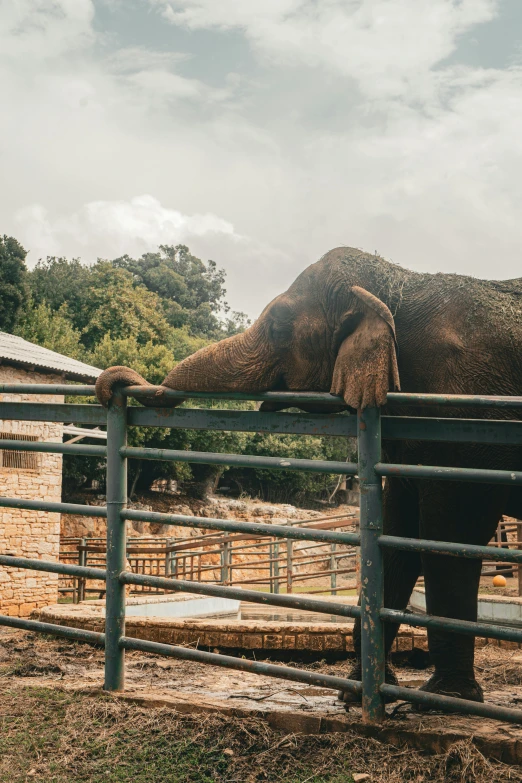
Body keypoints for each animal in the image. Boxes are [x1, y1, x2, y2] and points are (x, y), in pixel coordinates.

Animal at [95, 248, 520, 708]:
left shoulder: (465, 417)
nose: (117, 385)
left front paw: (440, 698)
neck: (399, 283)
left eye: (280, 326)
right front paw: (359, 694)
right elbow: (397, 532)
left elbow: (449, 534)